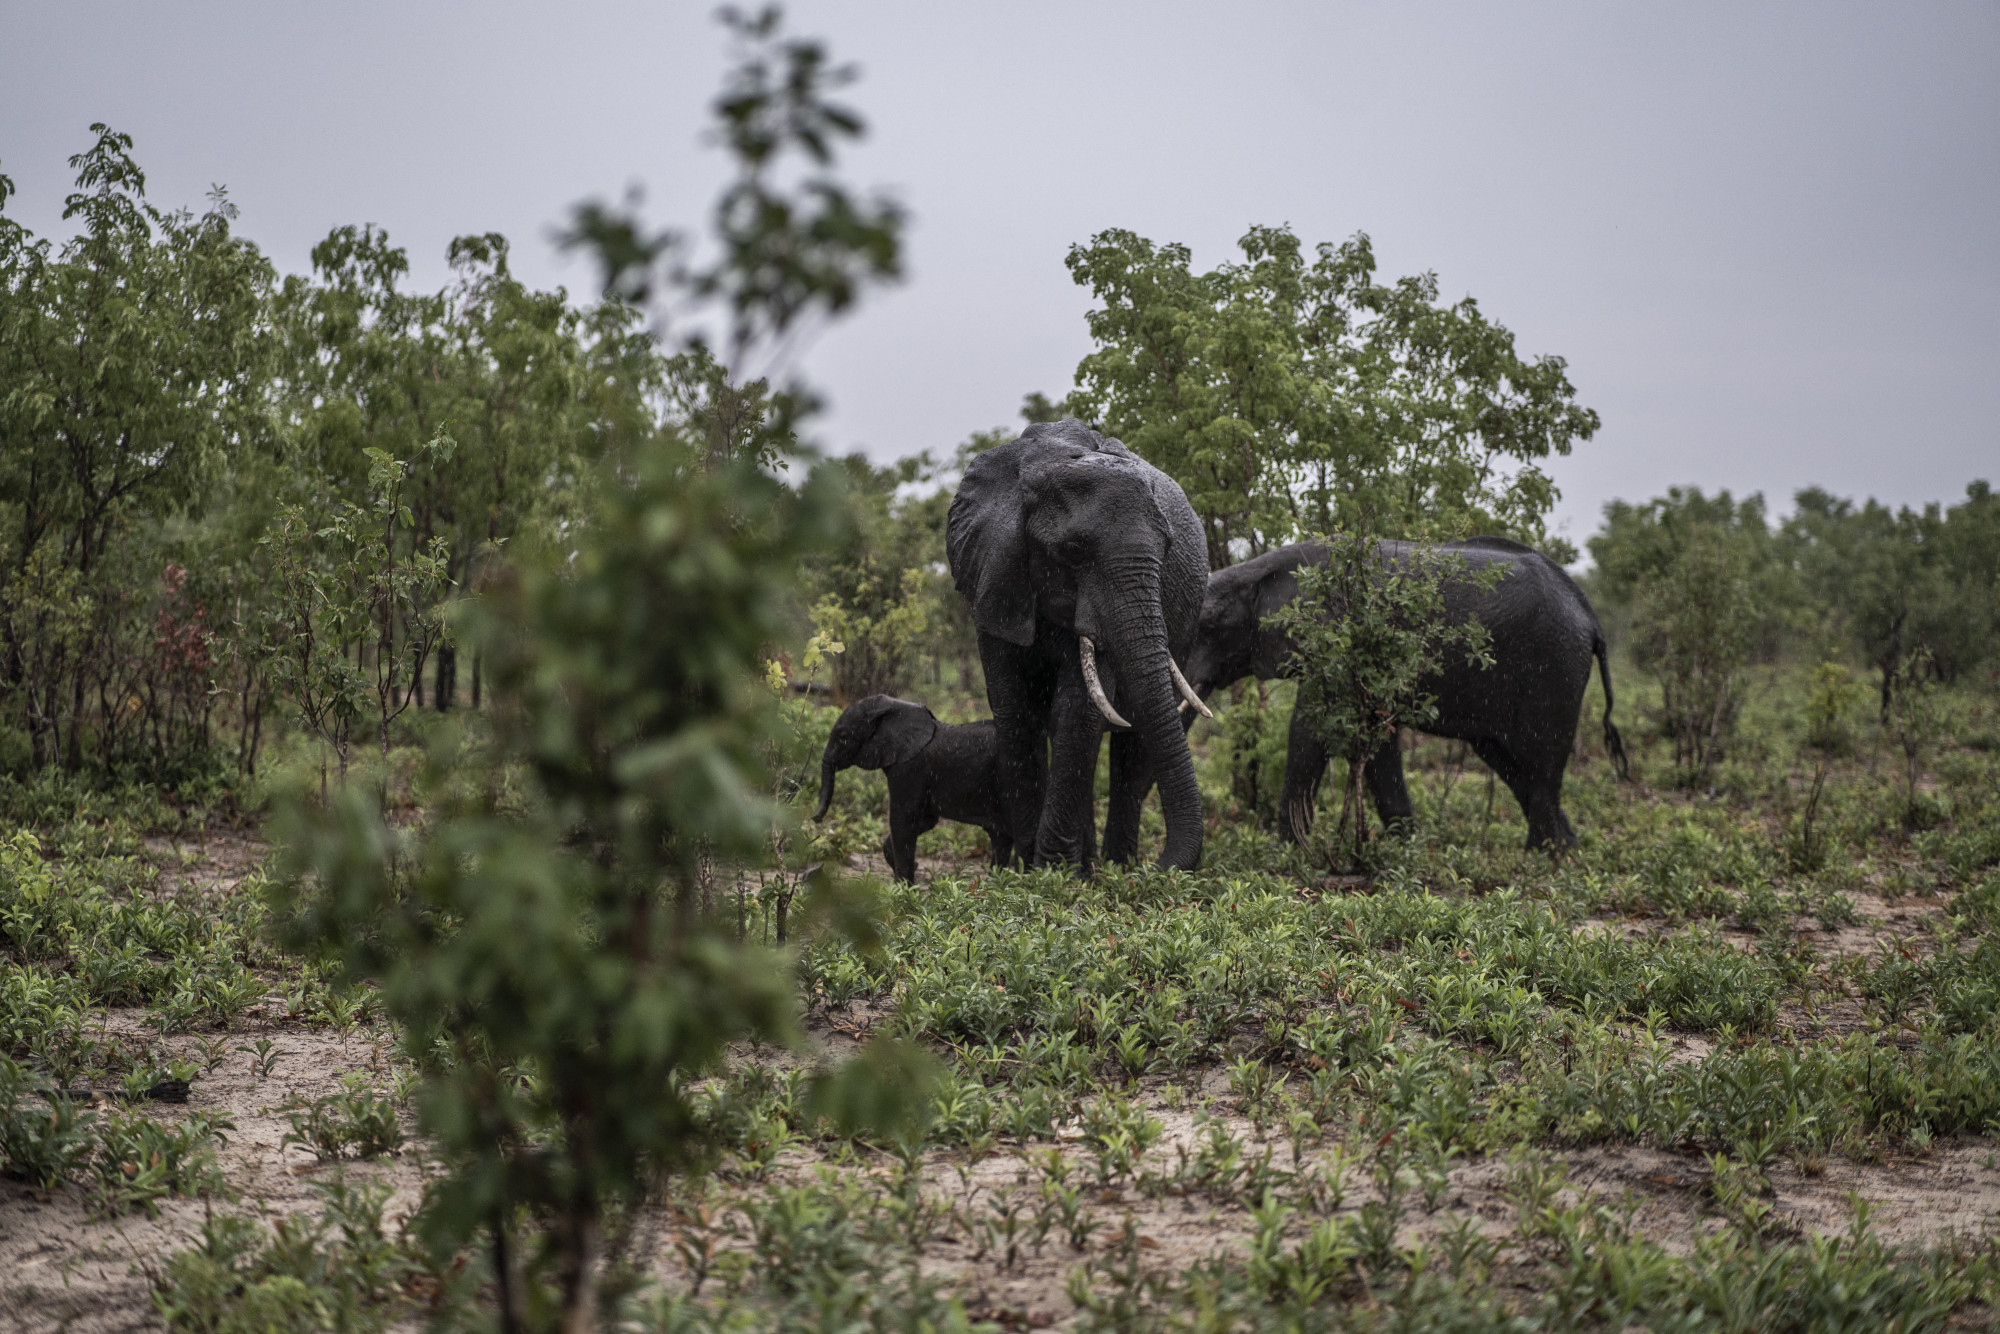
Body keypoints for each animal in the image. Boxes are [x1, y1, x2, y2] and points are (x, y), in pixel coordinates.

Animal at [808, 696, 1016, 880]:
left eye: (843, 736)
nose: (815, 819)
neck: (895, 707)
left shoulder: (910, 769)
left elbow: (902, 819)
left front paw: (904, 892)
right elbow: (925, 820)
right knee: (1000, 839)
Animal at [1184, 536, 1624, 852]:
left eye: (1207, 626)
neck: (1256, 569)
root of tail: (1592, 618)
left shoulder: (1337, 641)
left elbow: (1310, 731)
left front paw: (1286, 852)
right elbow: (1375, 739)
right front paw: (1404, 846)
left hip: (1554, 667)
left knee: (1540, 760)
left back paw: (1544, 857)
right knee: (1510, 762)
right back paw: (1564, 850)